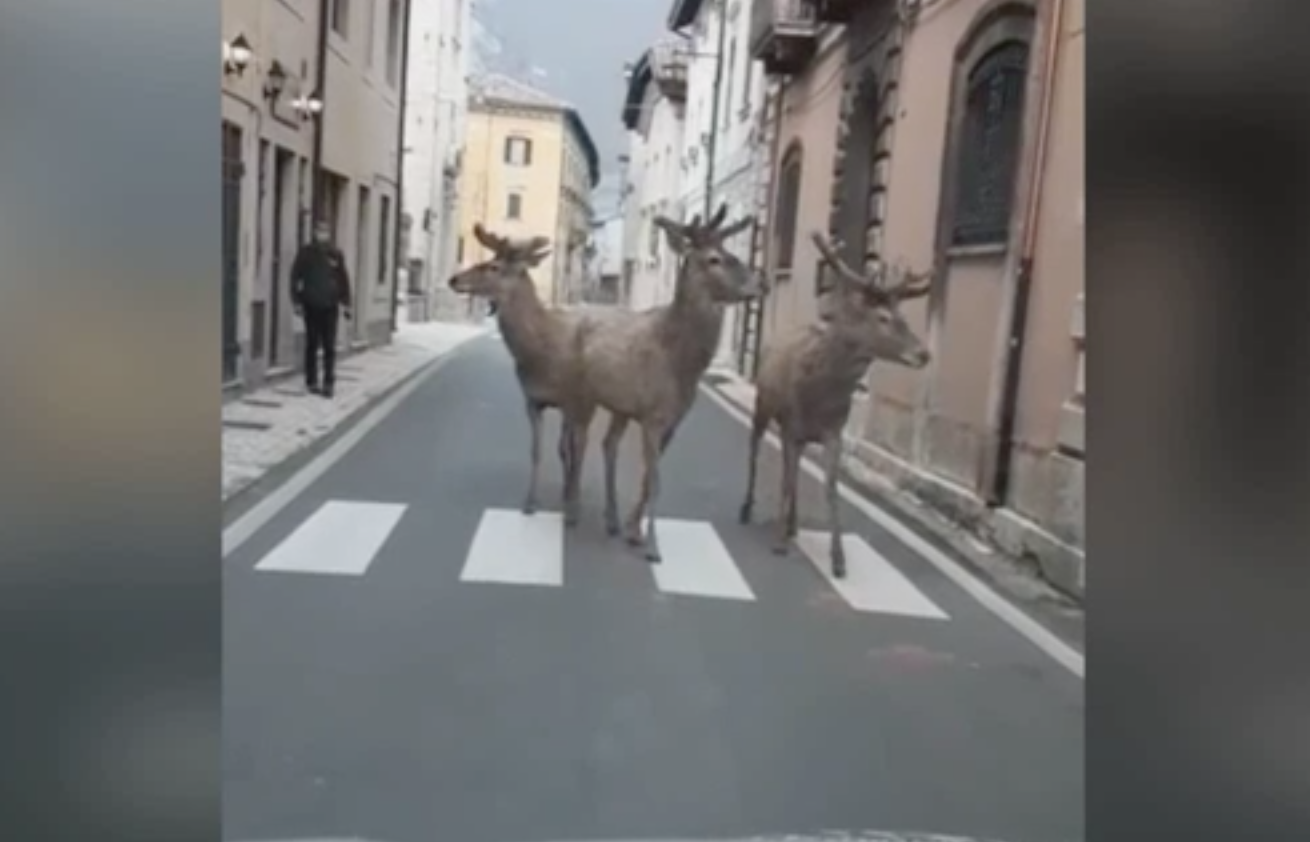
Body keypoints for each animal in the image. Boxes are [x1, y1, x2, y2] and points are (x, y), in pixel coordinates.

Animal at [450, 227, 594, 523]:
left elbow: (576, 448)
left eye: (493, 266)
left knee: (579, 444)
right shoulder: (532, 400)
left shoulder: (575, 401)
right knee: (565, 445)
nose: (454, 279)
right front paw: (530, 502)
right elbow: (537, 451)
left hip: (588, 403)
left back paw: (572, 493)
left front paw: (574, 508)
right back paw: (566, 487)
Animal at [558, 202, 765, 560]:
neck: (681, 363)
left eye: (731, 251)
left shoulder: (672, 420)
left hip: (618, 407)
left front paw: (632, 529)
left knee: (605, 444)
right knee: (578, 439)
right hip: (583, 393)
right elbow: (656, 481)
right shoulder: (653, 416)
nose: (759, 283)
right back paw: (572, 507)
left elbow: (647, 476)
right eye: (713, 258)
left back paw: (609, 517)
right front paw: (651, 546)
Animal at [744, 234, 937, 584]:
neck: (819, 395)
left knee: (789, 466)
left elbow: (830, 488)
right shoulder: (791, 425)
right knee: (755, 449)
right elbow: (786, 480)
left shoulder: (833, 432)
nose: (923, 353)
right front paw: (778, 542)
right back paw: (748, 507)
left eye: (904, 316)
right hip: (763, 404)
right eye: (883, 317)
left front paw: (838, 559)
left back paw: (792, 524)